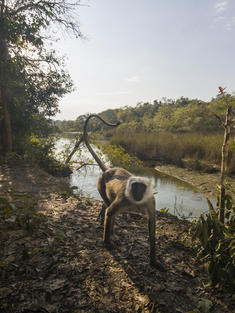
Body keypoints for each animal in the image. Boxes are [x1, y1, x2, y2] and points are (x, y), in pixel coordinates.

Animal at [83, 114, 162, 268]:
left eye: (141, 187)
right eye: (135, 186)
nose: (137, 193)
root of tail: (108, 170)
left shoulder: (150, 200)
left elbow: (152, 223)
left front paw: (153, 260)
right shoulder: (124, 198)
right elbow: (110, 213)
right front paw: (107, 244)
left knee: (107, 206)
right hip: (100, 184)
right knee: (109, 209)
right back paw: (111, 232)